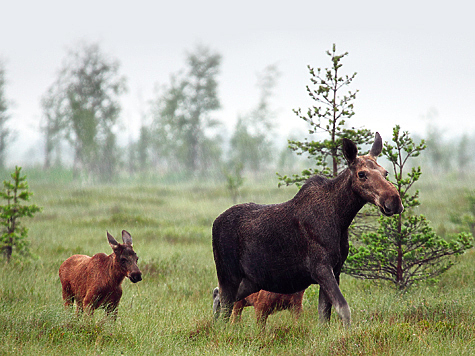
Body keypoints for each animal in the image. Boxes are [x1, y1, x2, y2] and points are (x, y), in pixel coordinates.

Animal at [214, 133, 404, 326]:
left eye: (385, 172)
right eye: (362, 174)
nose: (394, 200)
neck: (341, 219)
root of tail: (216, 221)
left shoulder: (336, 269)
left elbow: (325, 314)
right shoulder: (320, 267)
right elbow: (343, 308)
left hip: (251, 280)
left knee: (218, 297)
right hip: (228, 275)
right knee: (224, 303)